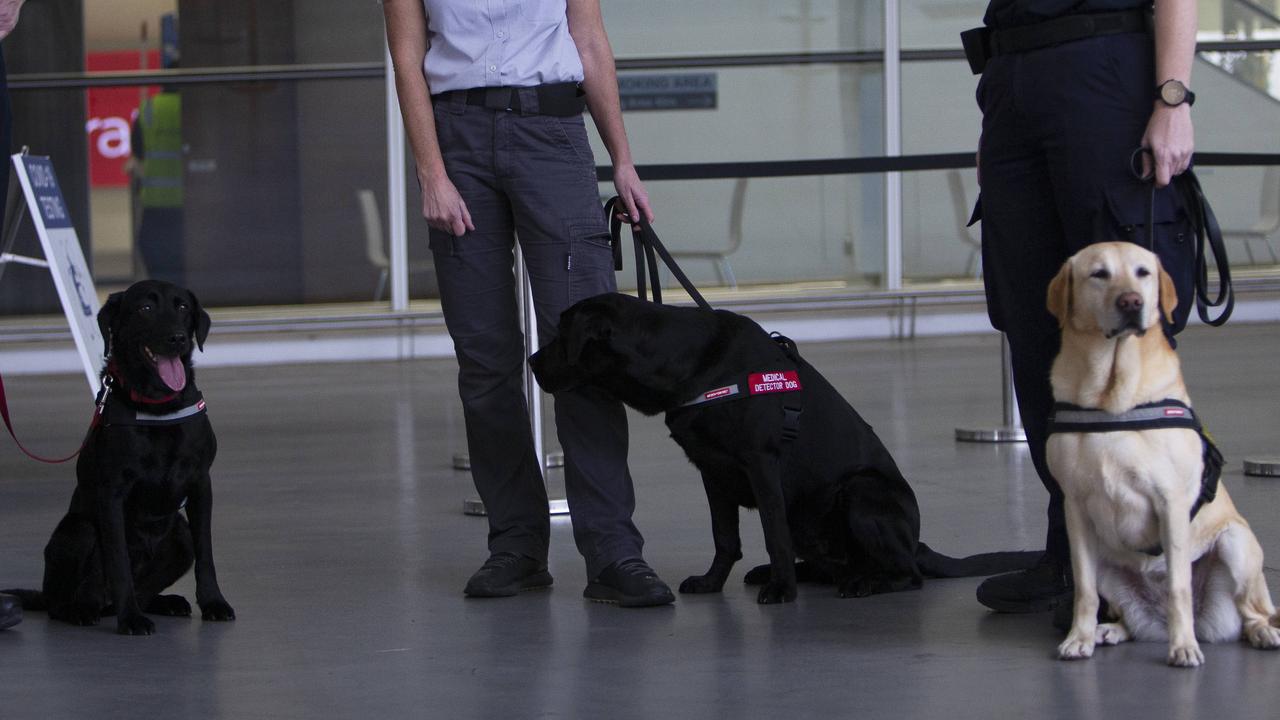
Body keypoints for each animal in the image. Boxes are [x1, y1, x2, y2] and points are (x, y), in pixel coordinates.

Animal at [4, 280, 232, 632]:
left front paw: (213, 602)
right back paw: (82, 609)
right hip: (79, 530)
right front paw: (131, 620)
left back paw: (164, 602)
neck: (158, 405)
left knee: (143, 588)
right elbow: (117, 561)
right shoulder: (112, 493)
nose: (177, 337)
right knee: (69, 598)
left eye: (182, 307)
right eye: (145, 308)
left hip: (180, 535)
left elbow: (206, 553)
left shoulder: (200, 484)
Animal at [532, 289, 1039, 599]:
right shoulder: (711, 471)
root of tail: (917, 543)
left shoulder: (762, 463)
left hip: (861, 492)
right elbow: (724, 537)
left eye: (561, 335)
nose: (532, 361)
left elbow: (770, 532)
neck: (695, 366)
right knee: (833, 562)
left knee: (907, 575)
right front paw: (714, 581)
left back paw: (865, 582)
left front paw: (781, 590)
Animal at [1044, 242, 1274, 666]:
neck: (1113, 397)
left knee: (1252, 611)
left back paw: (1260, 631)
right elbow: (1084, 590)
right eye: (1098, 274)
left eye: (1143, 273)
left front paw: (1183, 647)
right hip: (1108, 564)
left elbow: (1179, 586)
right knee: (1126, 617)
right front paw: (1079, 637)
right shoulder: (1076, 508)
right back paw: (1109, 630)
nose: (1131, 301)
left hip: (1236, 543)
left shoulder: (1171, 502)